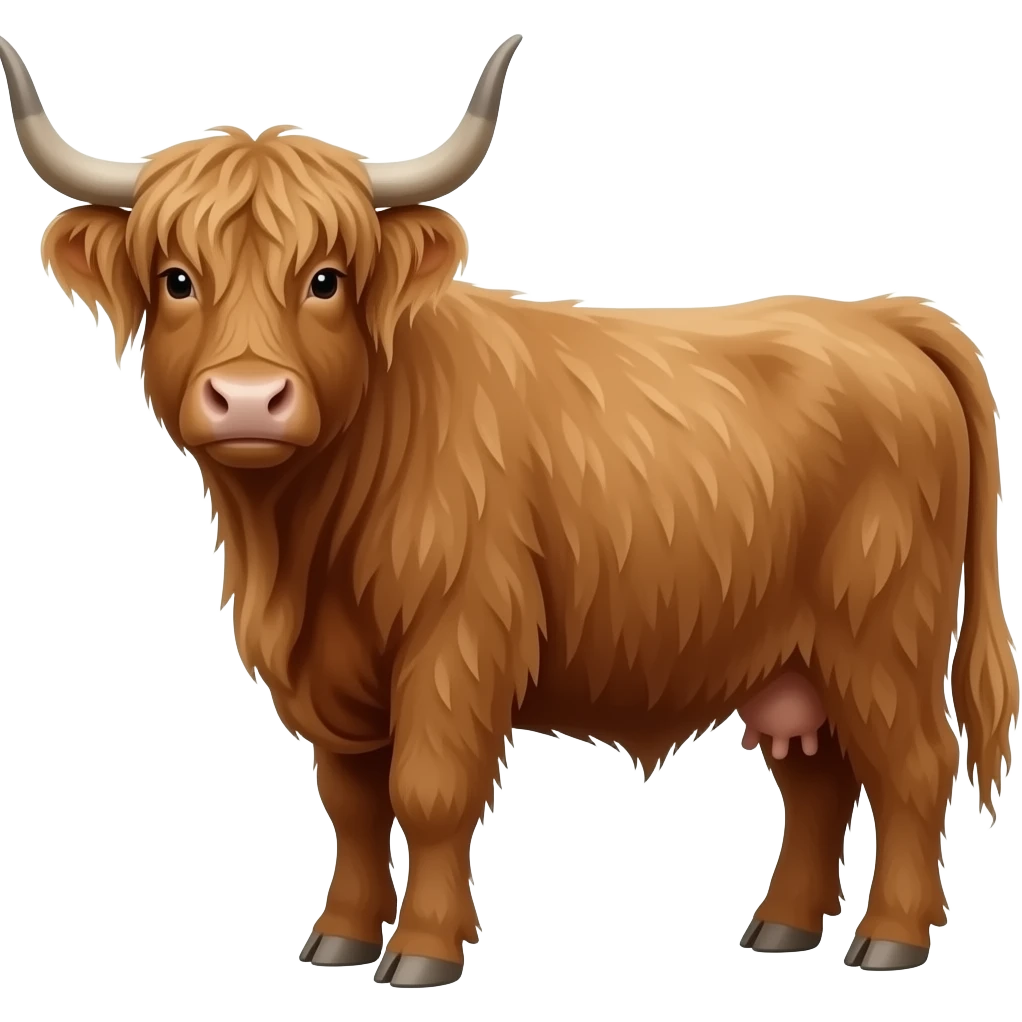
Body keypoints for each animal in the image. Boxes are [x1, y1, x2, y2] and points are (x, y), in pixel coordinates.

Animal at [2, 32, 1017, 986]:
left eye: (327, 279)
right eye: (176, 279)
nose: (249, 398)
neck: (301, 546)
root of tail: (875, 316)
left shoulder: (459, 639)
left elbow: (428, 791)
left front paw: (422, 950)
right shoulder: (333, 677)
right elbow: (353, 801)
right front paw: (339, 936)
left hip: (882, 631)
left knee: (915, 764)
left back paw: (890, 939)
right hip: (795, 658)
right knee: (816, 778)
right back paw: (781, 928)